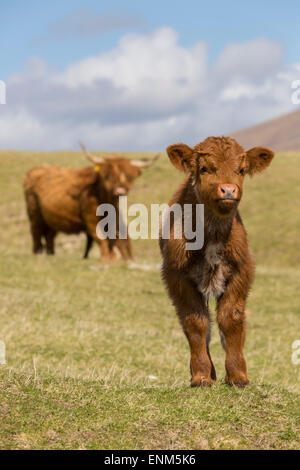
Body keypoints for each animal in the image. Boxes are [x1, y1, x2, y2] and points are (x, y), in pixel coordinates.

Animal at [159, 137, 274, 390]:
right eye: (204, 168)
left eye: (242, 170)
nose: (229, 190)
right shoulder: (178, 277)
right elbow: (196, 322)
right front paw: (201, 376)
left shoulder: (241, 272)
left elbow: (231, 318)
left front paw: (237, 375)